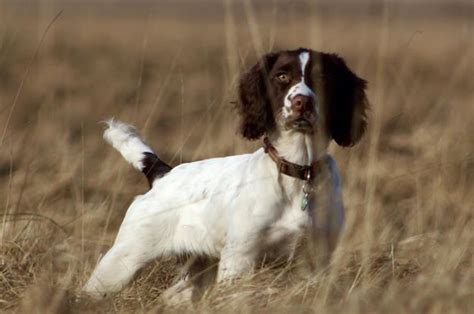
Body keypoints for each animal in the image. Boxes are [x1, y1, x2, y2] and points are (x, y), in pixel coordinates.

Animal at [83, 47, 368, 300]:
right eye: (282, 76)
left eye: (323, 77)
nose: (302, 102)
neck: (298, 171)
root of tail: (162, 173)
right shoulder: (240, 258)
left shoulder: (315, 260)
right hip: (122, 262)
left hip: (198, 269)